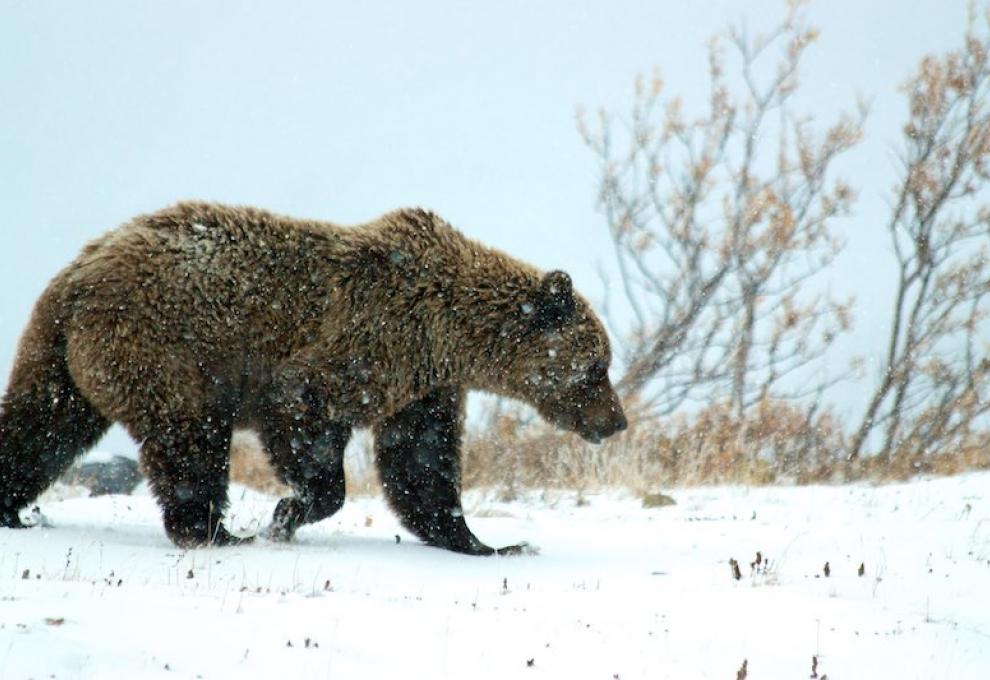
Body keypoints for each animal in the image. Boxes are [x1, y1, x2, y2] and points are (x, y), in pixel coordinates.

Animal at [0, 202, 628, 552]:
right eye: (598, 366)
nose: (617, 421)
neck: (444, 333)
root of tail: (80, 270)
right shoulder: (358, 346)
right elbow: (306, 418)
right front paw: (287, 513)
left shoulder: (421, 386)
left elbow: (421, 464)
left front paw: (490, 542)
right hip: (165, 348)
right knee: (189, 441)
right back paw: (215, 532)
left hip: (60, 352)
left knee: (42, 423)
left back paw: (11, 510)